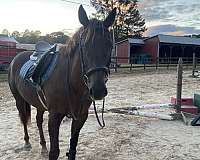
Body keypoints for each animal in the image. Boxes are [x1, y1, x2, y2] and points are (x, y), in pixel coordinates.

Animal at [7, 5, 116, 160]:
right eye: (84, 45)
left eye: (110, 45)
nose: (98, 90)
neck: (72, 83)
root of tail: (16, 58)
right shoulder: (54, 116)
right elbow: (54, 152)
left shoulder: (80, 117)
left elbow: (72, 149)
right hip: (19, 100)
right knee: (23, 118)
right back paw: (27, 143)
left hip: (38, 103)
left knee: (38, 120)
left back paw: (43, 146)